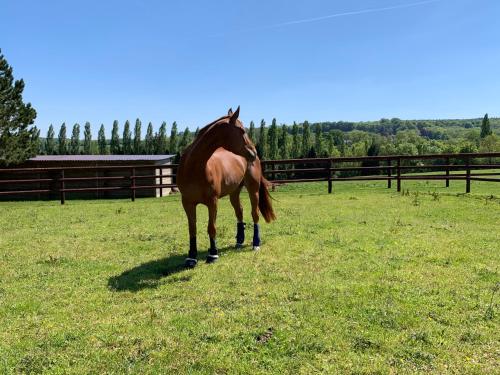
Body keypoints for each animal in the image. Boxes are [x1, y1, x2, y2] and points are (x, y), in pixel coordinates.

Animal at [177, 107, 278, 268]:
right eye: (242, 130)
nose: (253, 152)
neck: (194, 167)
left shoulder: (212, 202)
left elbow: (211, 228)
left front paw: (213, 254)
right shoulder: (187, 203)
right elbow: (192, 229)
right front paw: (191, 257)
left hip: (253, 189)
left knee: (254, 214)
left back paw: (255, 243)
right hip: (234, 192)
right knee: (239, 212)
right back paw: (239, 241)